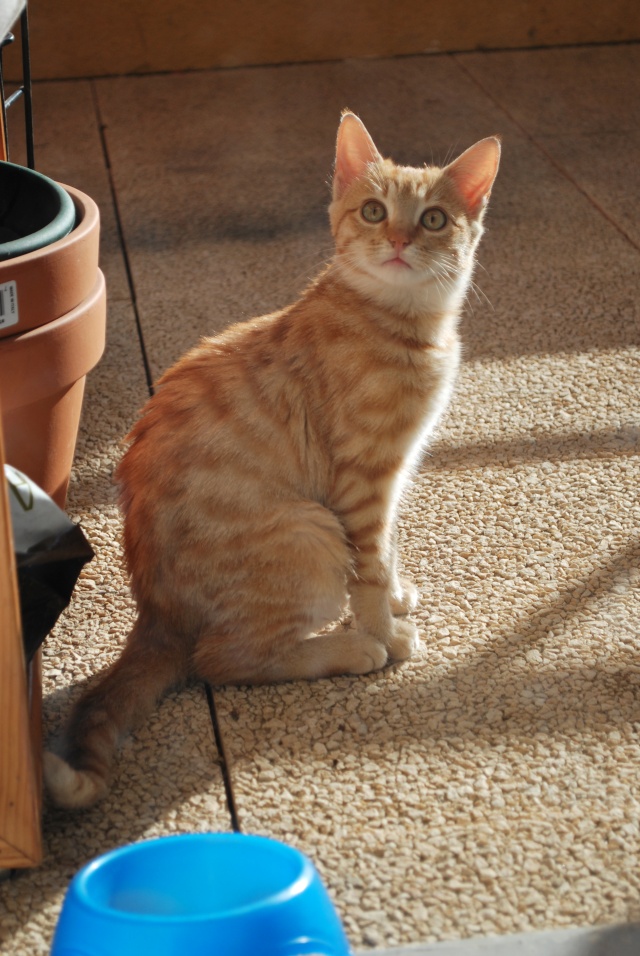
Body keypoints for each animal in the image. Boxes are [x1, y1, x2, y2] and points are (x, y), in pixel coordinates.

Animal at [47, 110, 502, 808]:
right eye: (374, 211)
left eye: (433, 219)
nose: (399, 238)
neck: (404, 323)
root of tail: (156, 614)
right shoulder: (362, 482)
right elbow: (369, 568)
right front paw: (383, 631)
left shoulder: (392, 476)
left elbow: (387, 551)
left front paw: (396, 595)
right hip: (310, 535)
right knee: (222, 661)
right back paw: (348, 649)